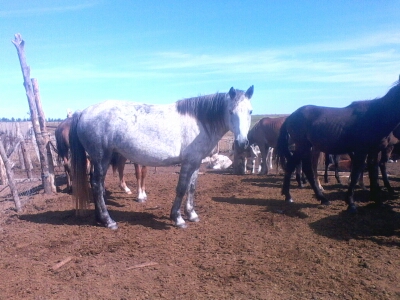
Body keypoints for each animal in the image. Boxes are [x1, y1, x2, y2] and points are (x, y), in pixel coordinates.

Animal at [276, 78, 400, 212]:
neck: (376, 116)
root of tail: (291, 116)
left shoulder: (374, 151)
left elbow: (374, 174)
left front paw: (377, 200)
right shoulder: (361, 151)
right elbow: (356, 173)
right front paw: (351, 203)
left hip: (304, 147)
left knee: (297, 166)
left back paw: (299, 196)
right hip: (303, 145)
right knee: (303, 168)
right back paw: (312, 197)